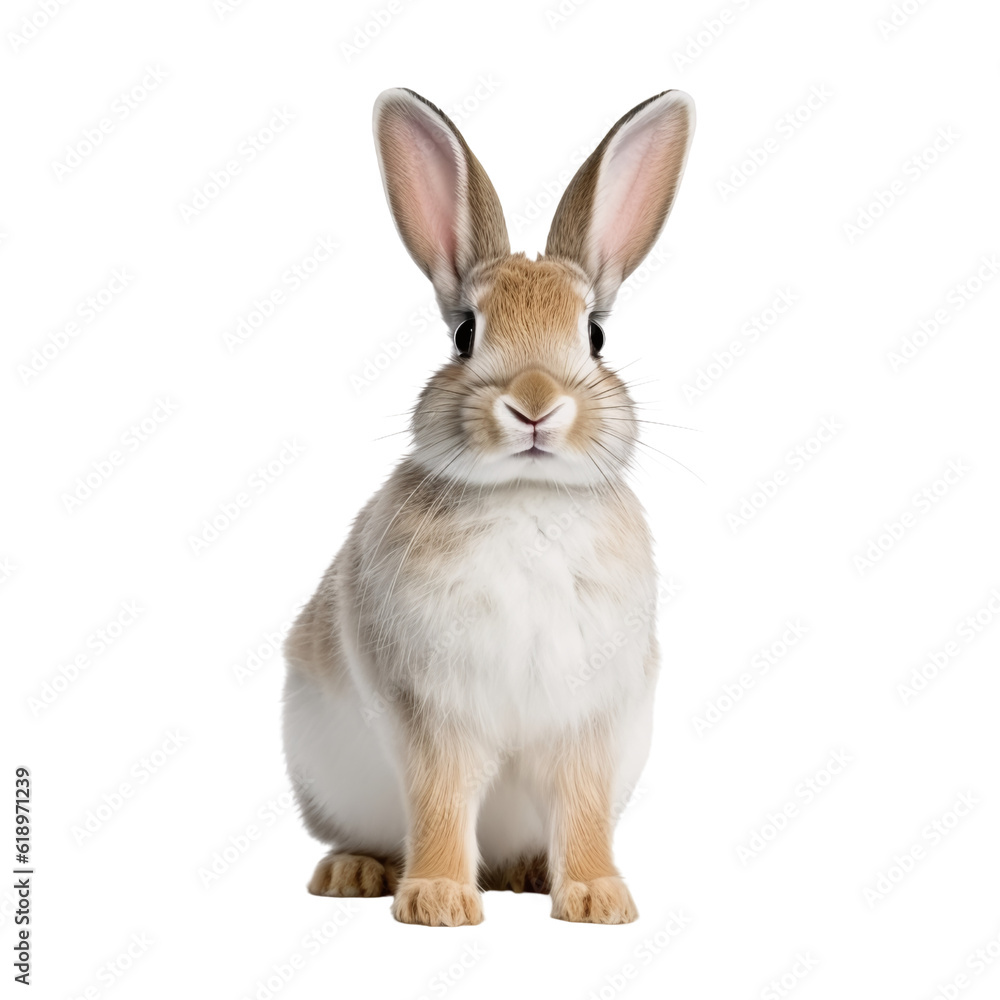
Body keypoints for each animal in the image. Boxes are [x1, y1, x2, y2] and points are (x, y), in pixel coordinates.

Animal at [282, 86, 694, 926]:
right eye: (466, 334)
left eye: (595, 335)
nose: (534, 403)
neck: (526, 498)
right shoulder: (432, 711)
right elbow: (441, 798)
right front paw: (438, 901)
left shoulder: (588, 720)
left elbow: (582, 804)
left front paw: (598, 899)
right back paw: (357, 873)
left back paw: (532, 872)